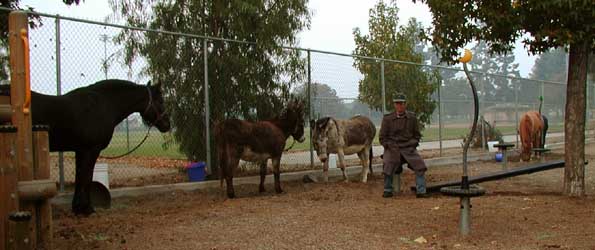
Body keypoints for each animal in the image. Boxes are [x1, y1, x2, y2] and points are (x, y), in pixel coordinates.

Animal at [1, 79, 170, 215]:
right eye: (161, 101)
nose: (167, 125)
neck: (103, 104)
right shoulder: (91, 150)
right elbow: (87, 177)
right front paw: (87, 209)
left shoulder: (80, 150)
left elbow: (80, 177)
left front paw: (78, 208)